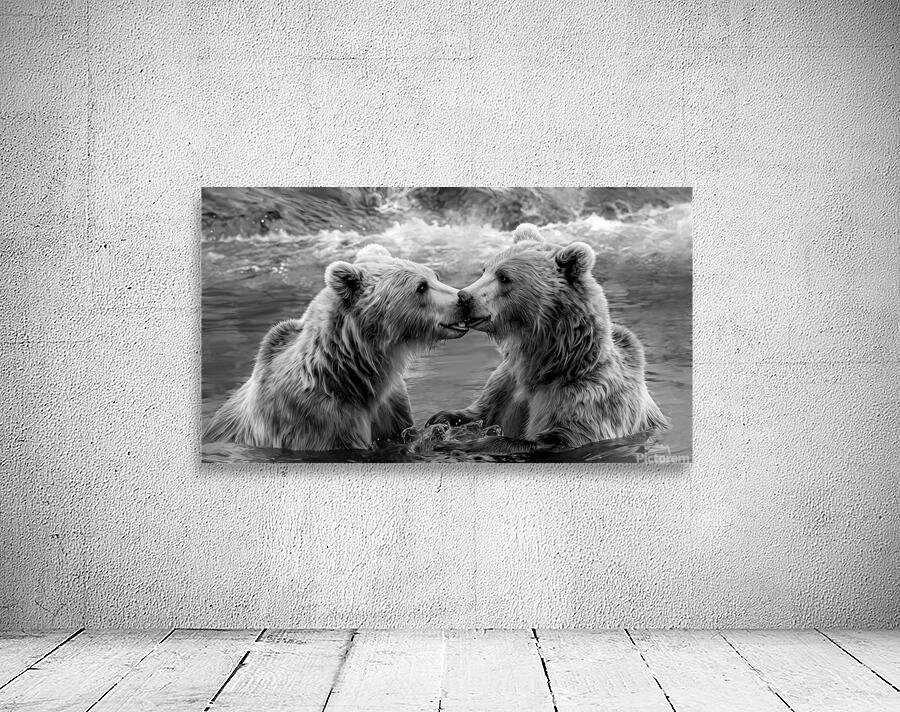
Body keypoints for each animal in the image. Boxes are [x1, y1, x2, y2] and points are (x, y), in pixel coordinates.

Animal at [427, 223, 668, 450]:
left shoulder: (585, 397)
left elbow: (551, 439)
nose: (465, 296)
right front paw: (439, 420)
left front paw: (459, 443)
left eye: (504, 277)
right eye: (485, 269)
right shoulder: (505, 384)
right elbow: (480, 410)